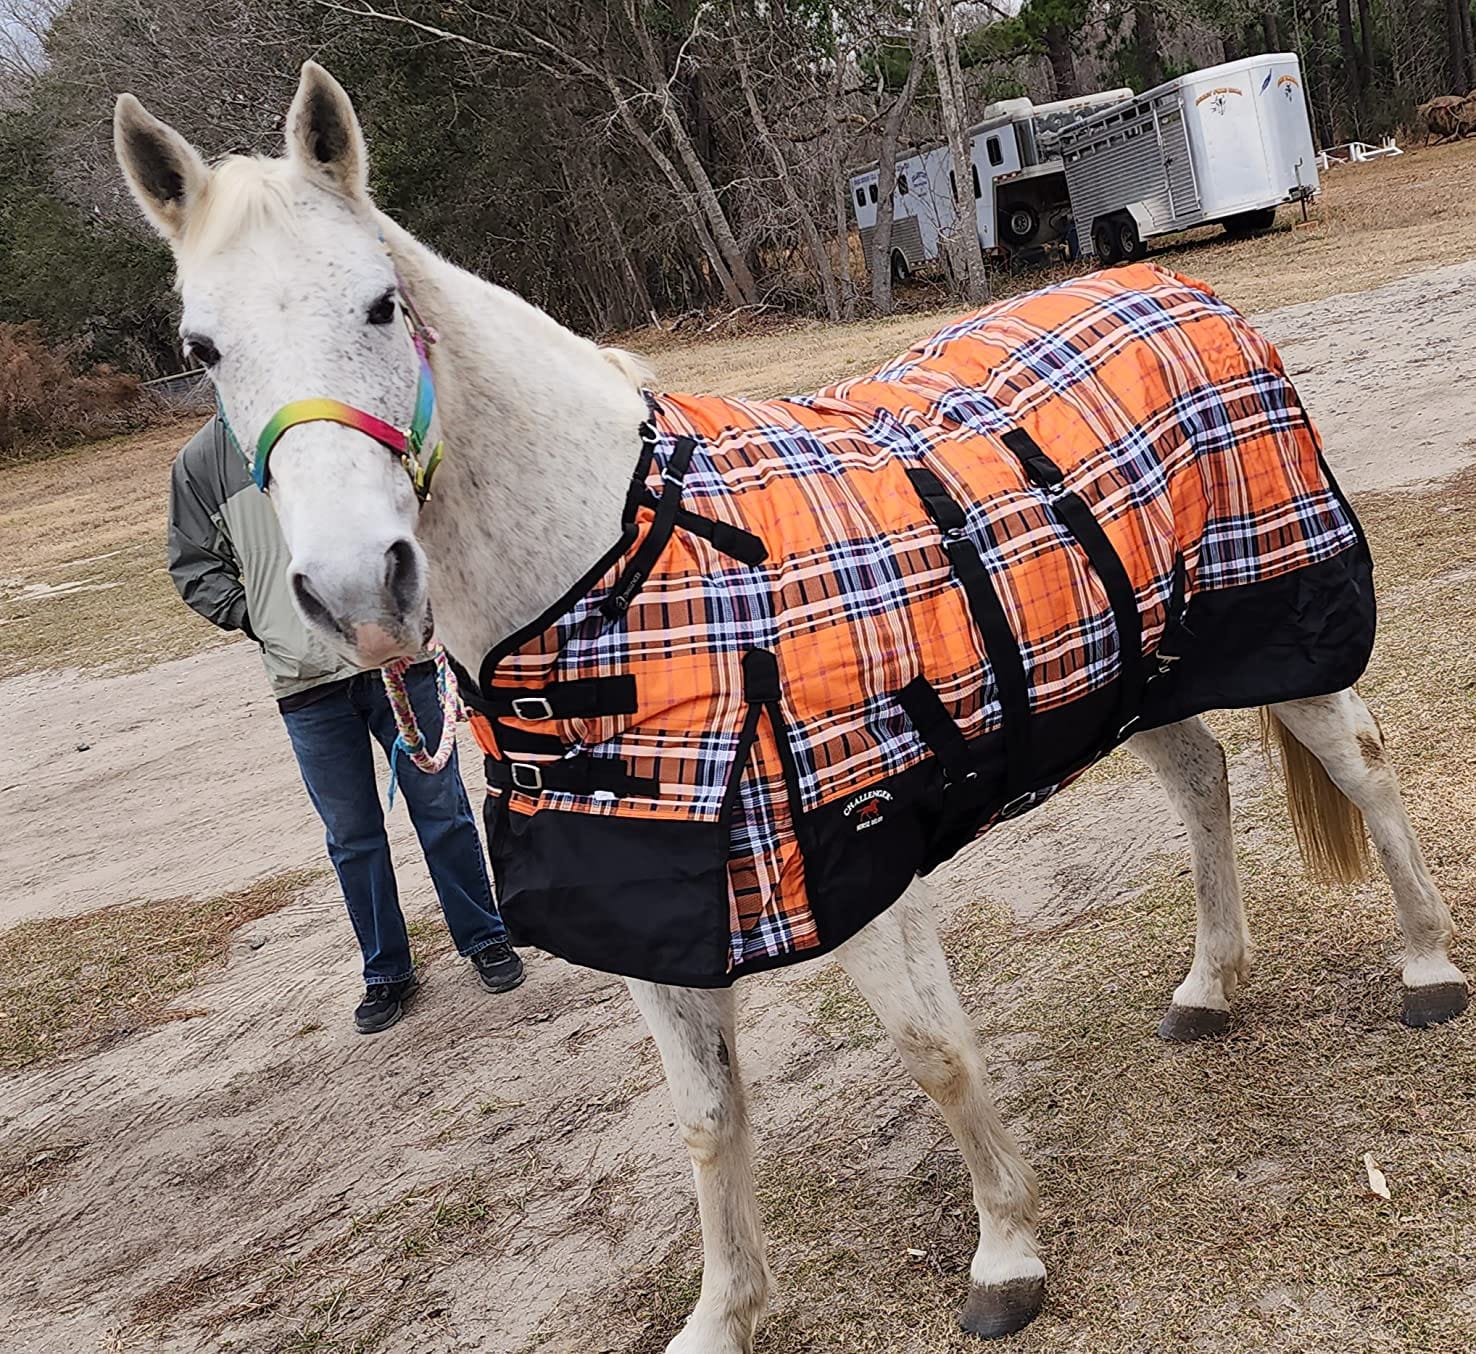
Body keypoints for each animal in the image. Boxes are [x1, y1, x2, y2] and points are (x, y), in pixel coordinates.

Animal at [114, 63, 1468, 1350]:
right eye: (201, 349)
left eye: (381, 305)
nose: (358, 589)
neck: (626, 575)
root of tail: (1177, 288)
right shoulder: (651, 912)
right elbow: (708, 1119)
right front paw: (724, 1314)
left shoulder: (858, 865)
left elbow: (934, 1055)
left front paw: (1006, 1257)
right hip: (1133, 675)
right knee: (1204, 787)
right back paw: (1207, 988)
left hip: (1285, 636)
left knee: (1363, 765)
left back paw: (1426, 969)